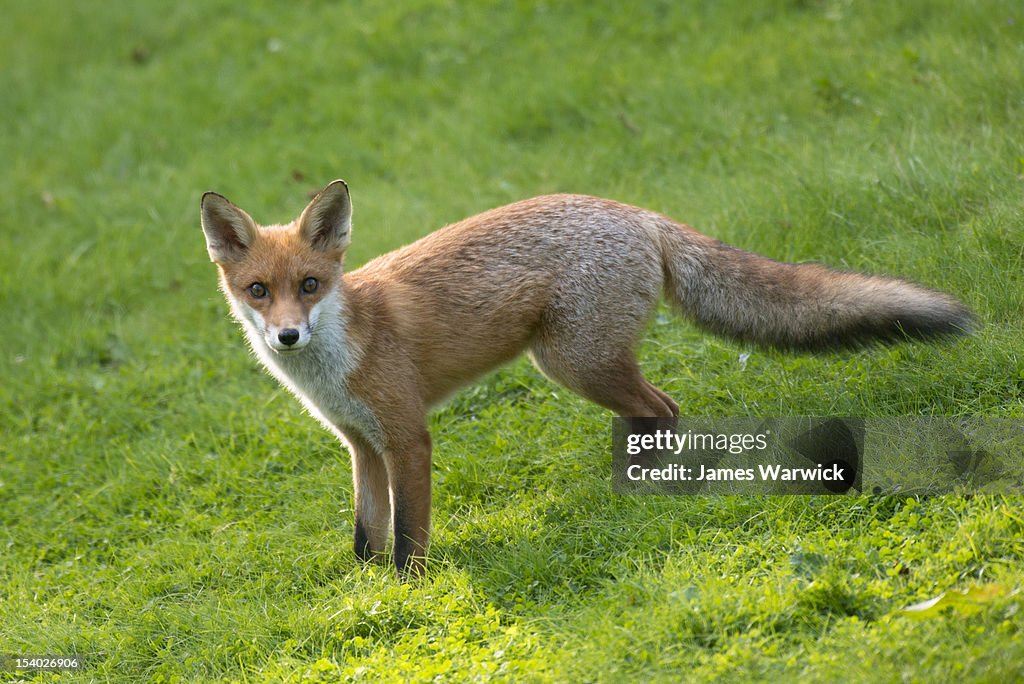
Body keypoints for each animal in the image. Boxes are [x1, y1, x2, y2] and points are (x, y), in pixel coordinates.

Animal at [201, 180, 974, 577]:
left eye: (310, 284)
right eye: (259, 291)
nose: (288, 335)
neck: (337, 357)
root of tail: (636, 211)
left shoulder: (408, 439)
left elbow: (408, 539)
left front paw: (410, 592)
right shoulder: (361, 446)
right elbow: (366, 535)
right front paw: (364, 594)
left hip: (573, 361)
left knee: (666, 408)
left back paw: (642, 496)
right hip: (579, 363)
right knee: (654, 415)